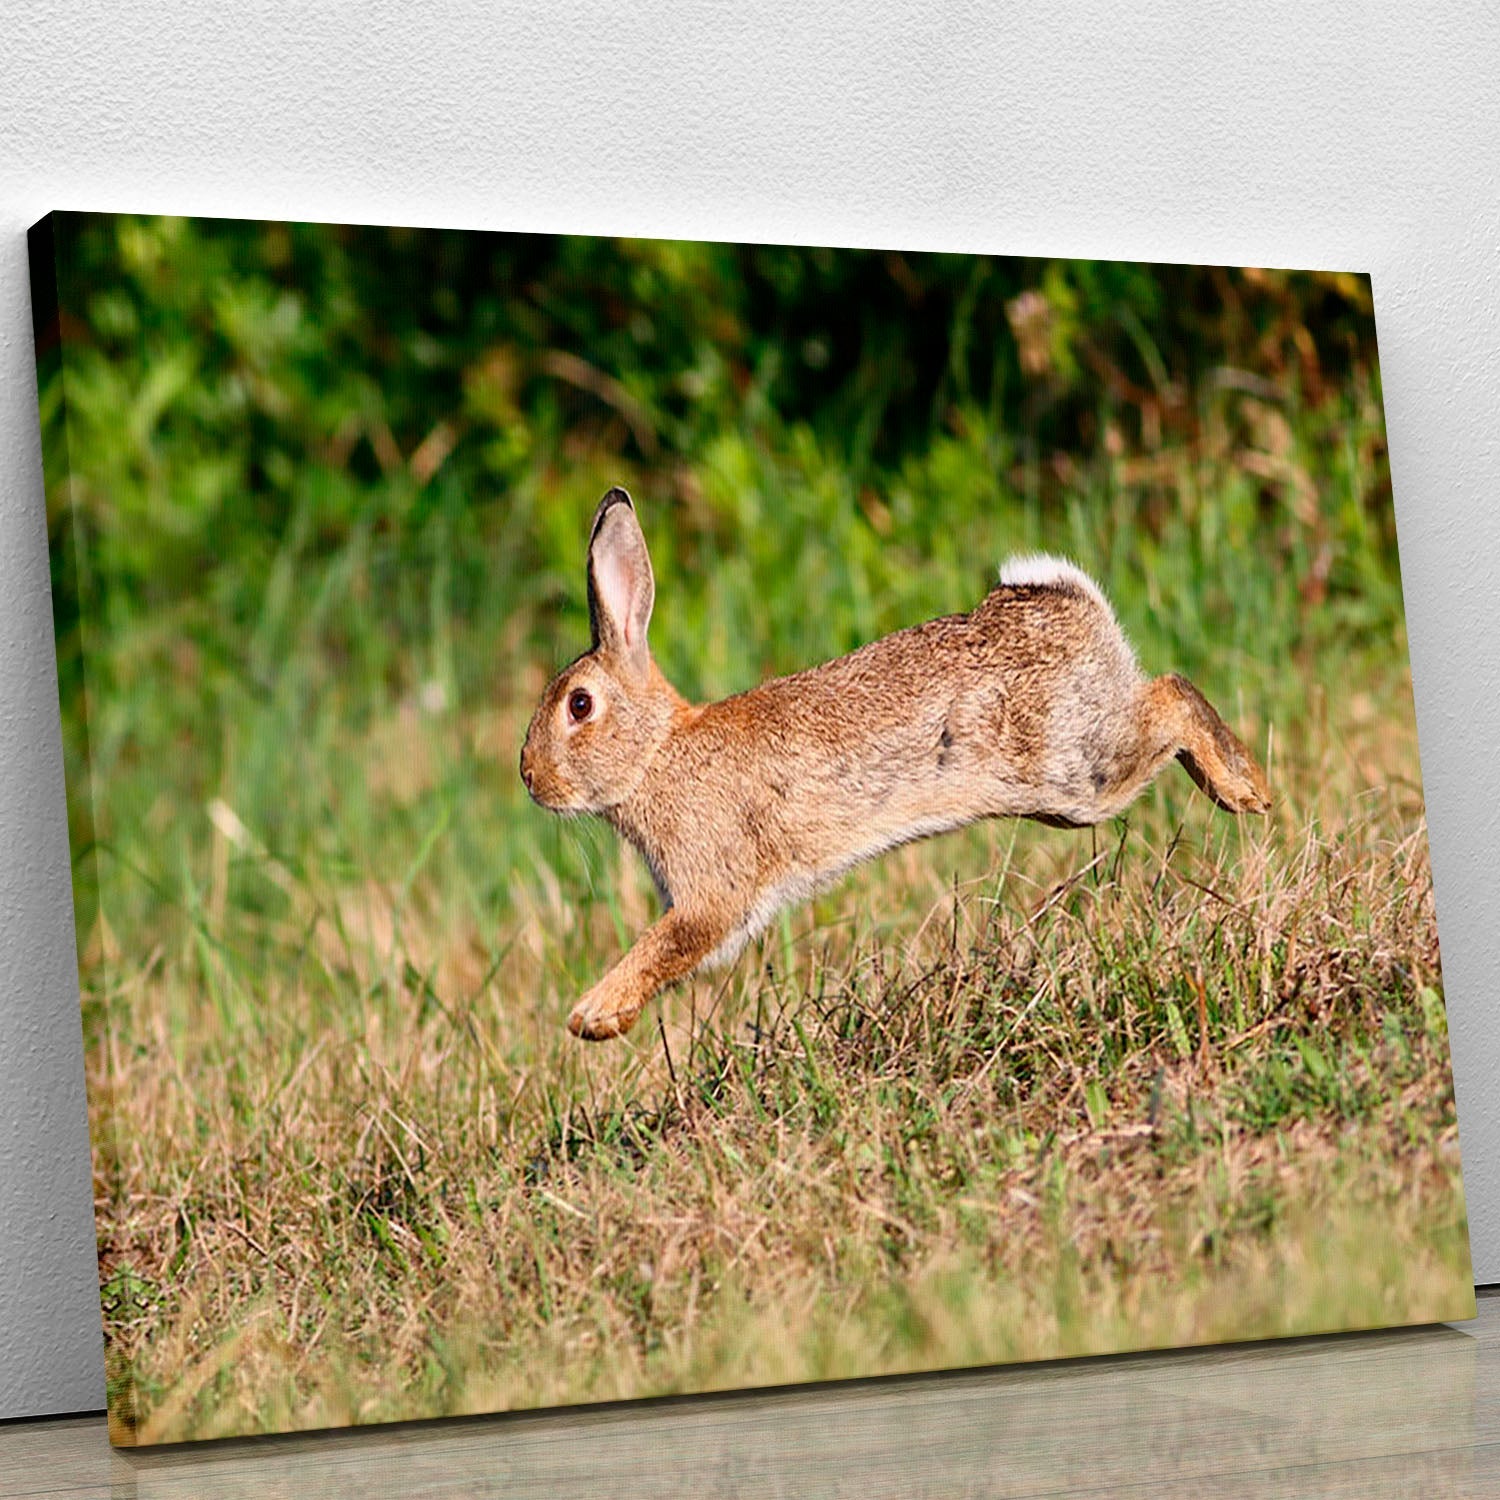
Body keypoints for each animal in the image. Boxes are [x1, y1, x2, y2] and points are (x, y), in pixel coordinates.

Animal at [520, 487, 1270, 1041]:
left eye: (580, 706)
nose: (530, 779)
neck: (655, 754)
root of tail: (1063, 599)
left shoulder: (713, 891)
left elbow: (668, 944)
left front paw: (591, 1014)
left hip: (1076, 770)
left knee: (1170, 696)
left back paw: (1245, 790)